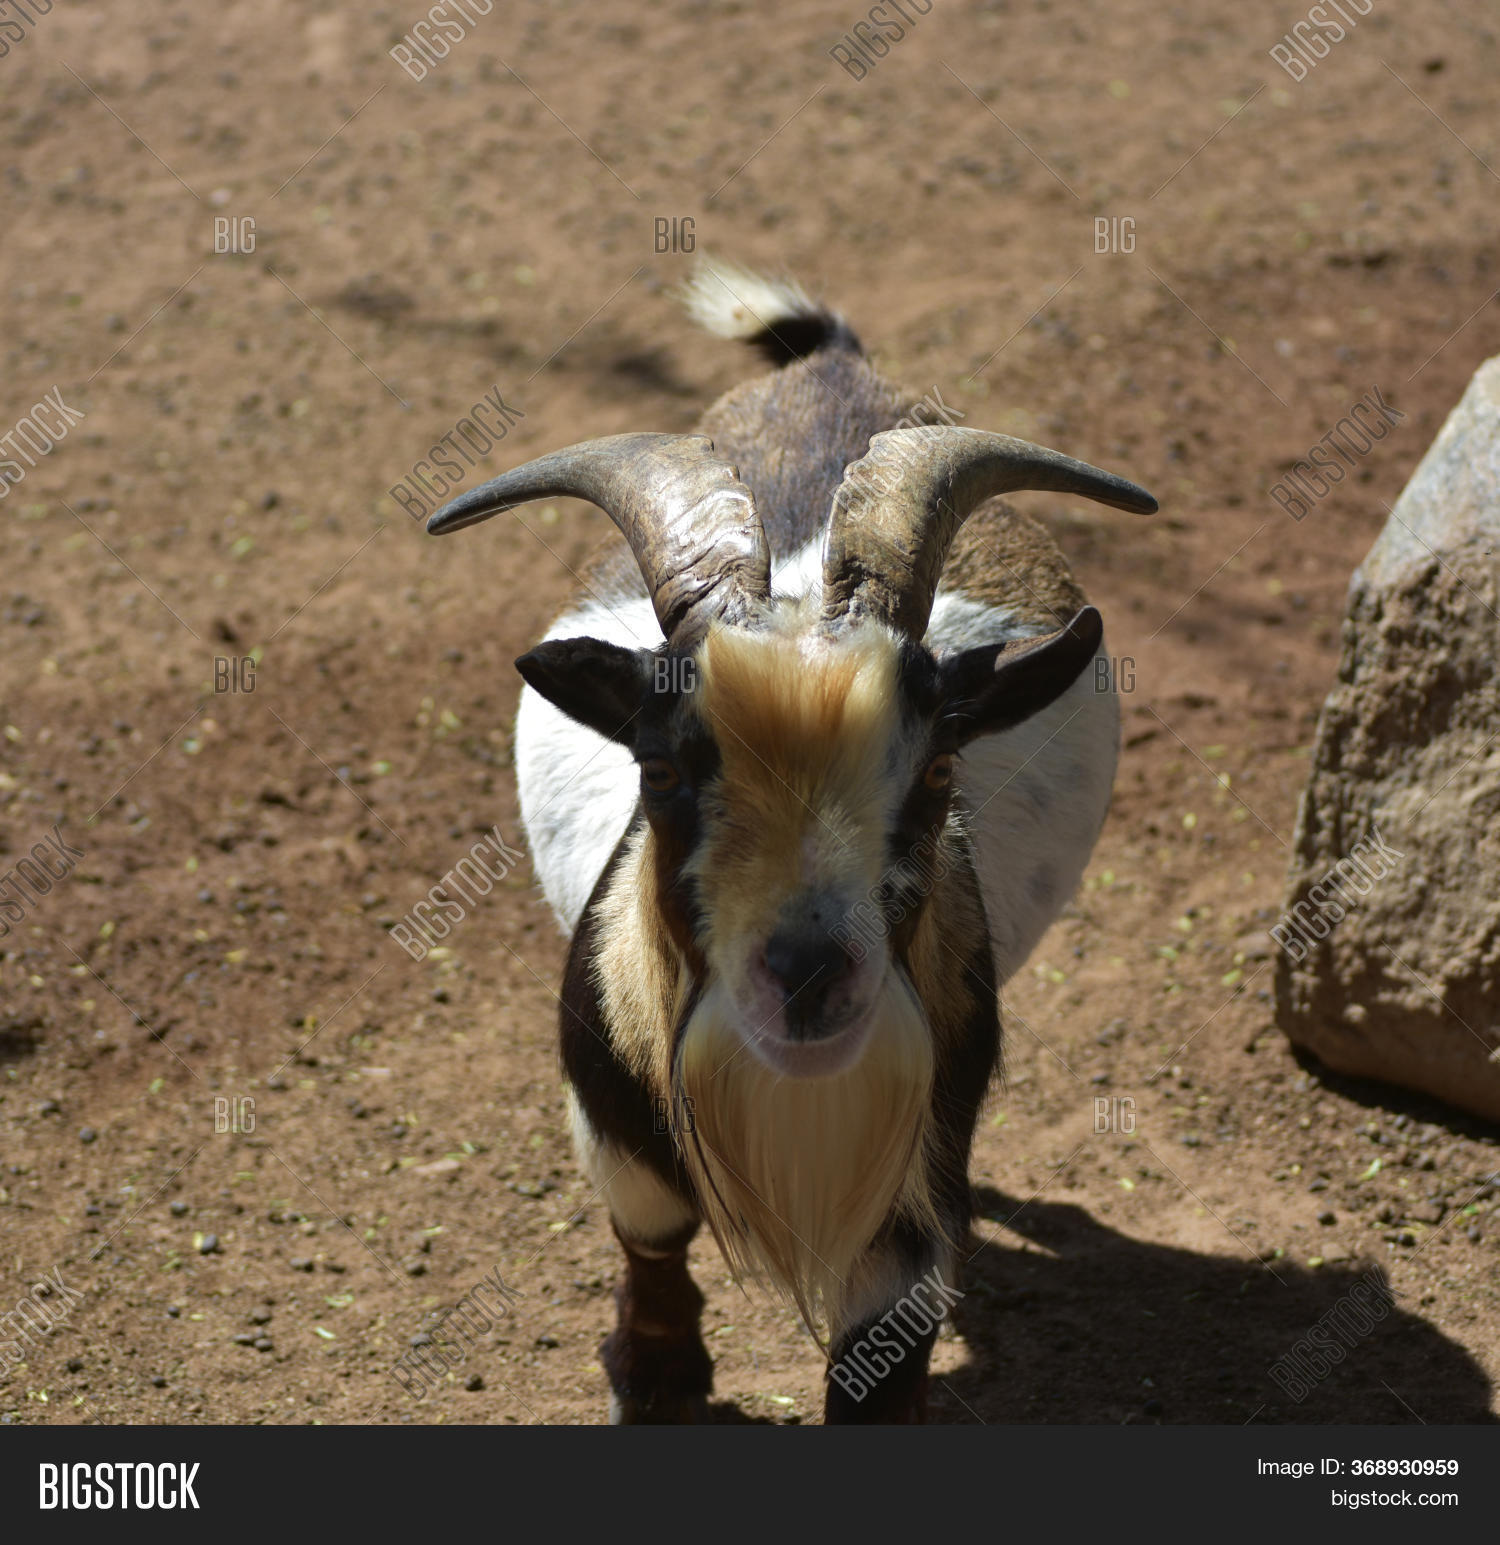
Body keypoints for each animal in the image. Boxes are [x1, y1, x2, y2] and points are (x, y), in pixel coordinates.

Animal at [428, 262, 1156, 1423]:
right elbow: (649, 1225)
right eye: (662, 770)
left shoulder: (909, 1195)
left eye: (937, 770)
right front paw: (658, 1372)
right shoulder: (612, 1114)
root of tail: (831, 368)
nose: (808, 975)